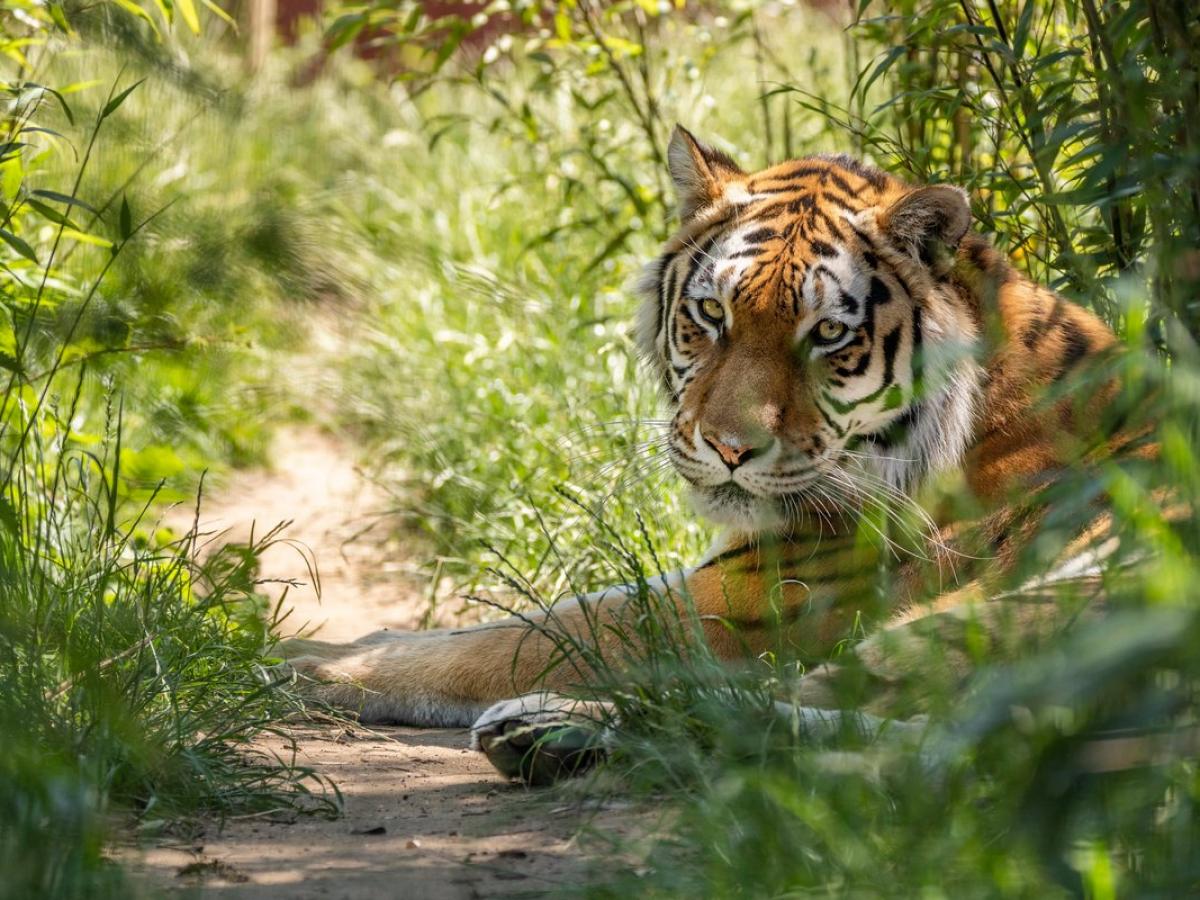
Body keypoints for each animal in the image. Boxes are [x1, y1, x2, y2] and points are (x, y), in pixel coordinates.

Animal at [280, 126, 1123, 782]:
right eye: (712, 314)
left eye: (827, 333)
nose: (728, 448)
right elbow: (535, 614)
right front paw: (356, 640)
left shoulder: (751, 600)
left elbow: (530, 635)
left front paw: (308, 660)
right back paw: (547, 738)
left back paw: (544, 729)